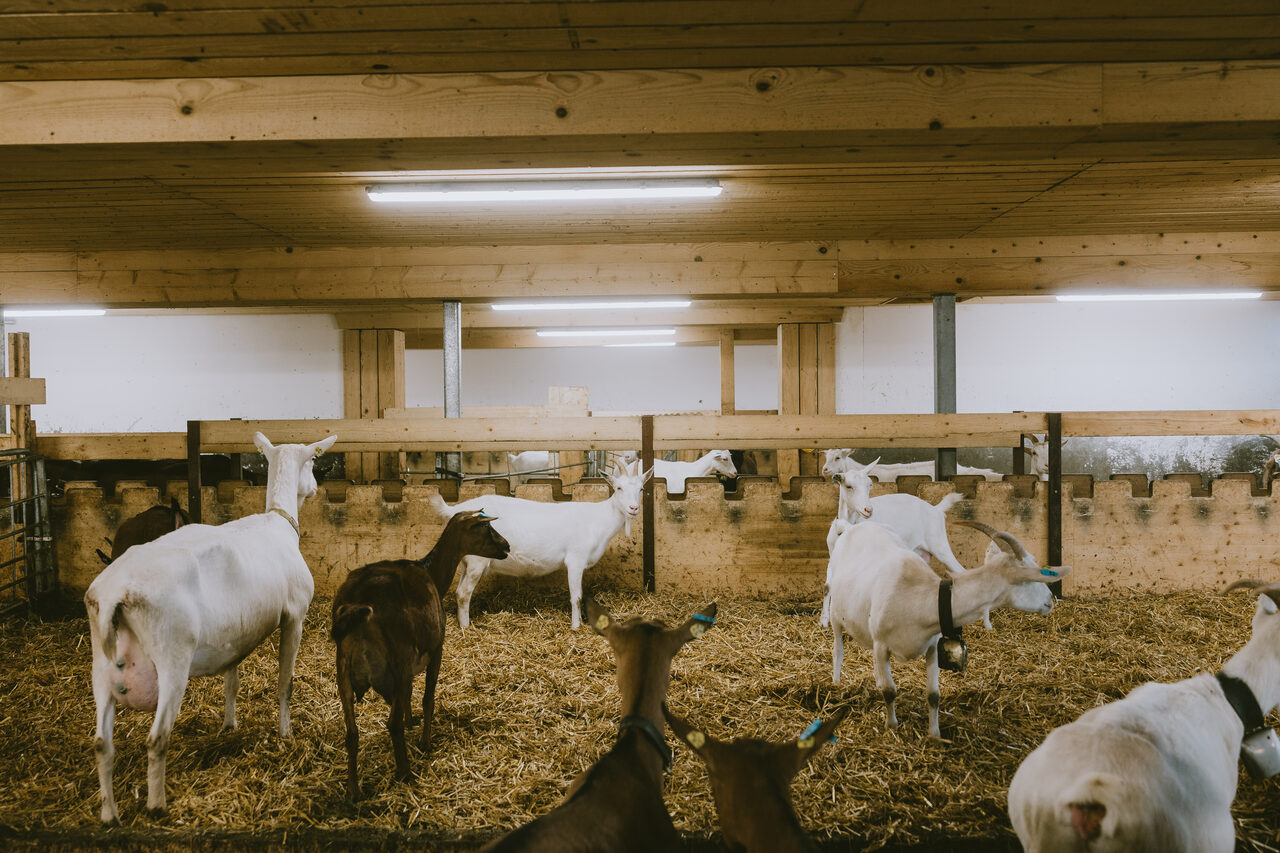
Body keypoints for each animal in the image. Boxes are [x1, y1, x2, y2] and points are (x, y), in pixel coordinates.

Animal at [84, 432, 336, 823]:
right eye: (312, 462)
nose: (316, 487)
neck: (277, 521)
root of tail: (116, 593)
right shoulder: (295, 616)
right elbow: (286, 683)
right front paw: (285, 733)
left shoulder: (234, 636)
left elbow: (232, 681)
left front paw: (229, 725)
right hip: (172, 659)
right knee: (156, 739)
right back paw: (157, 805)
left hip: (101, 665)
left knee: (101, 743)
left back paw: (110, 813)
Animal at [332, 509, 509, 798]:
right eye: (485, 527)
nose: (507, 546)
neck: (431, 572)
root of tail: (358, 606)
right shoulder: (436, 648)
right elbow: (428, 698)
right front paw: (425, 741)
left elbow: (407, 697)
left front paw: (411, 721)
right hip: (398, 659)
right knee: (391, 724)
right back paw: (405, 772)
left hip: (344, 667)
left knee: (351, 733)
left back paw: (353, 790)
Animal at [431, 459, 651, 630]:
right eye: (619, 488)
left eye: (641, 489)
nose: (634, 508)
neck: (599, 519)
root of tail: (456, 510)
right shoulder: (576, 559)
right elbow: (577, 597)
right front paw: (576, 626)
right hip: (478, 560)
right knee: (463, 593)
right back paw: (466, 627)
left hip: (467, 561)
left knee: (459, 590)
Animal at [827, 519, 1069, 738]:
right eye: (1031, 577)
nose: (1050, 600)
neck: (917, 597)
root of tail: (850, 527)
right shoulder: (881, 643)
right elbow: (890, 691)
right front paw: (891, 726)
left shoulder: (933, 646)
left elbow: (933, 695)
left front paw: (935, 735)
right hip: (834, 611)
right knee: (838, 649)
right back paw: (836, 683)